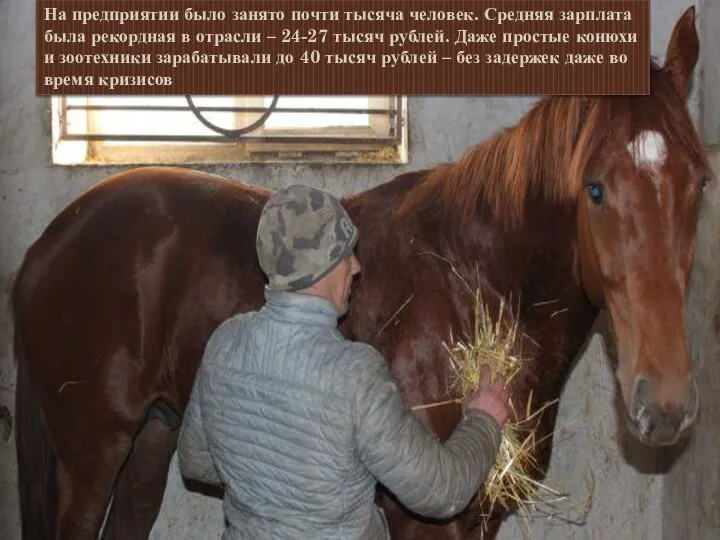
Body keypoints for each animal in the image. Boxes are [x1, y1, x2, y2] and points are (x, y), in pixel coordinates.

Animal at [11, 7, 708, 540]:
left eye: (700, 183)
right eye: (595, 189)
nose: (665, 405)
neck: (475, 283)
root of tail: (54, 241)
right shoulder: (426, 518)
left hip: (148, 448)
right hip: (92, 460)